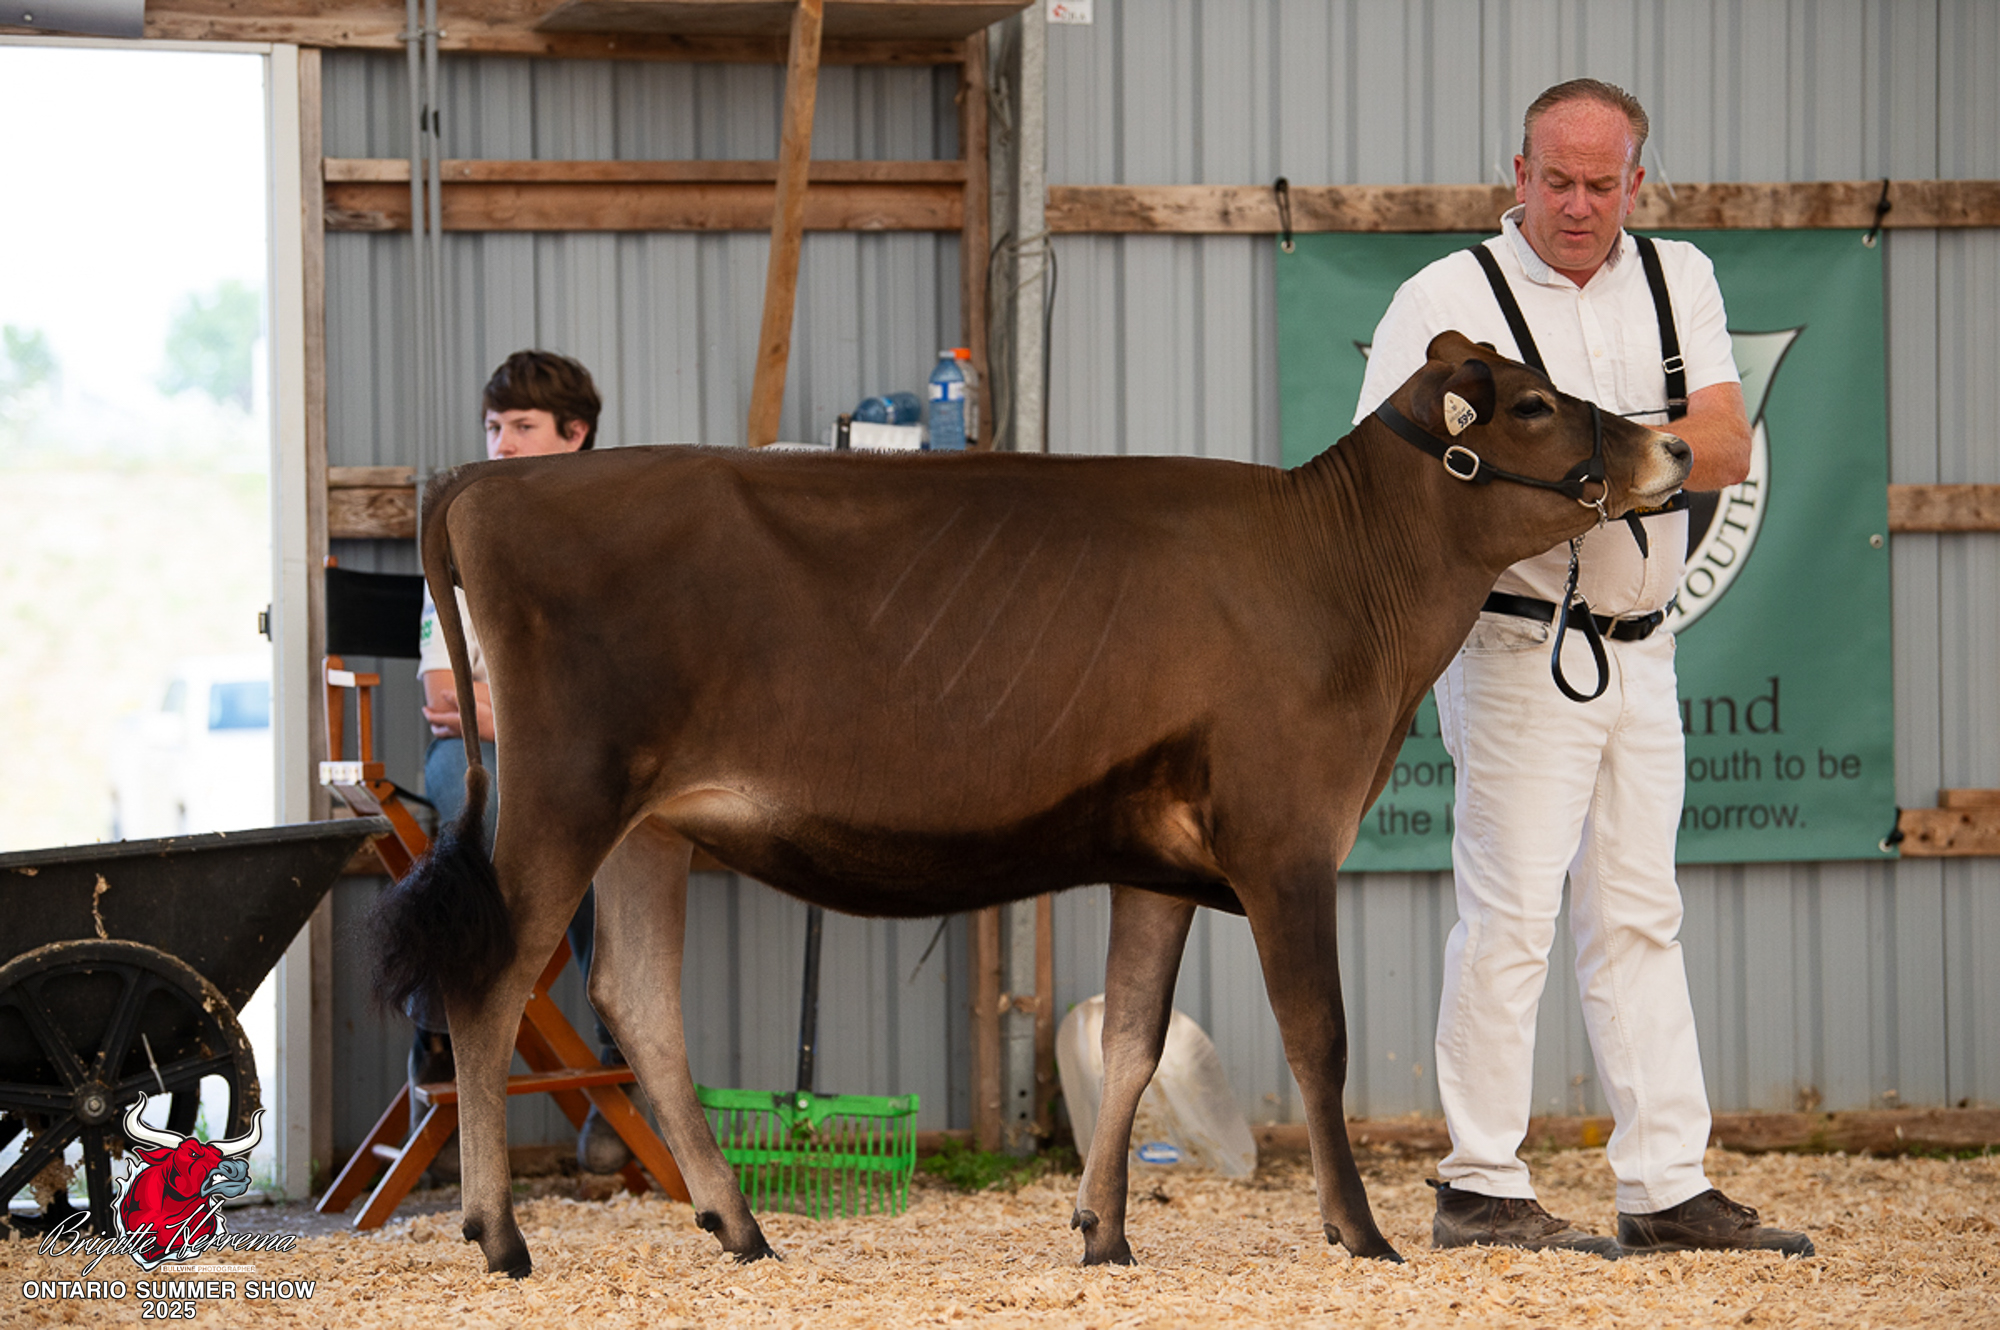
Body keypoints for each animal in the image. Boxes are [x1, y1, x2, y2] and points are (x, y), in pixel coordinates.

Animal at [374, 331, 1692, 1277]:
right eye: (1530, 405)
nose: (1670, 453)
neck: (1344, 580)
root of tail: (489, 481)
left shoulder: (1157, 861)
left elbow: (1130, 1041)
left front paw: (1103, 1233)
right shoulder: (1284, 835)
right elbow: (1315, 1034)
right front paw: (1358, 1234)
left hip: (649, 822)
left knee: (637, 998)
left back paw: (738, 1228)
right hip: (564, 789)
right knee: (493, 979)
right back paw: (500, 1236)